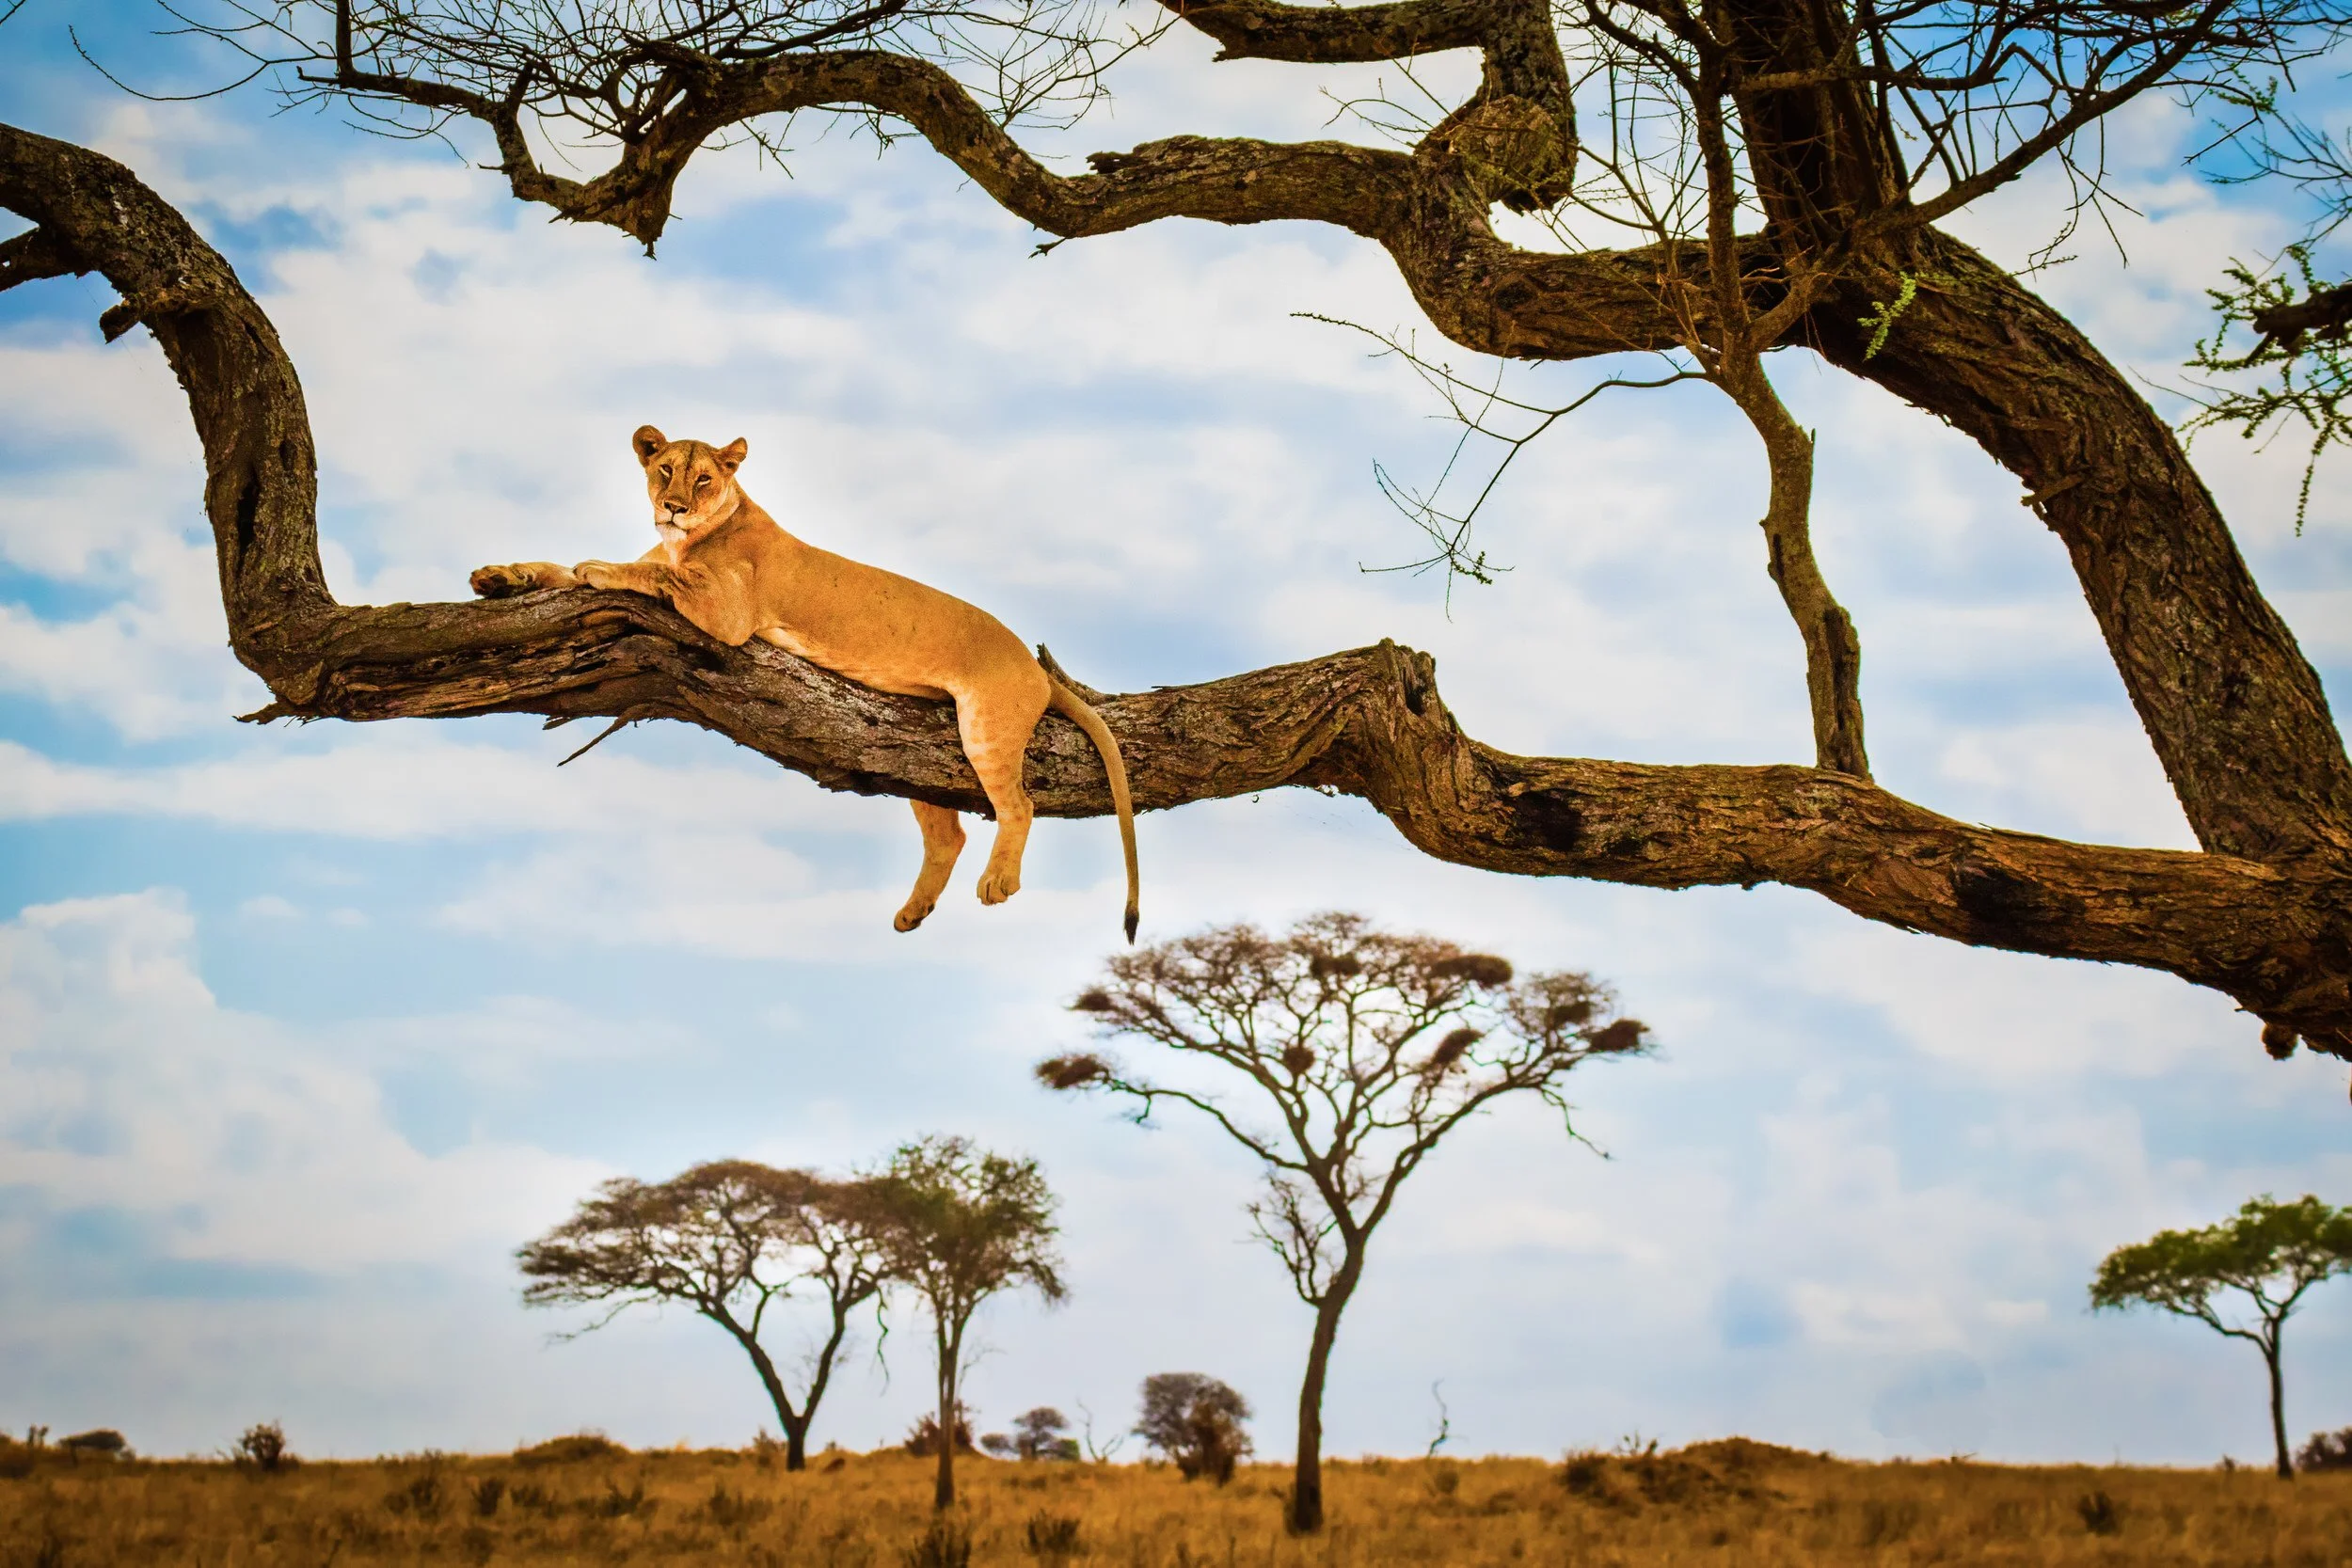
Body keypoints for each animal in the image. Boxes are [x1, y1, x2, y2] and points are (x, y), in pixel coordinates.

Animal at [471, 425, 1140, 938]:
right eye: (664, 471)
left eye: (704, 479)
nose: (676, 506)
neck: (686, 539)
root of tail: (1034, 666)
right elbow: (557, 567)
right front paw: (499, 576)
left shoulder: (728, 614)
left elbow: (642, 575)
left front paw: (599, 568)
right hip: (919, 759)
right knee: (947, 833)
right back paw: (913, 912)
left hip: (984, 728)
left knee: (1018, 804)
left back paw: (998, 882)